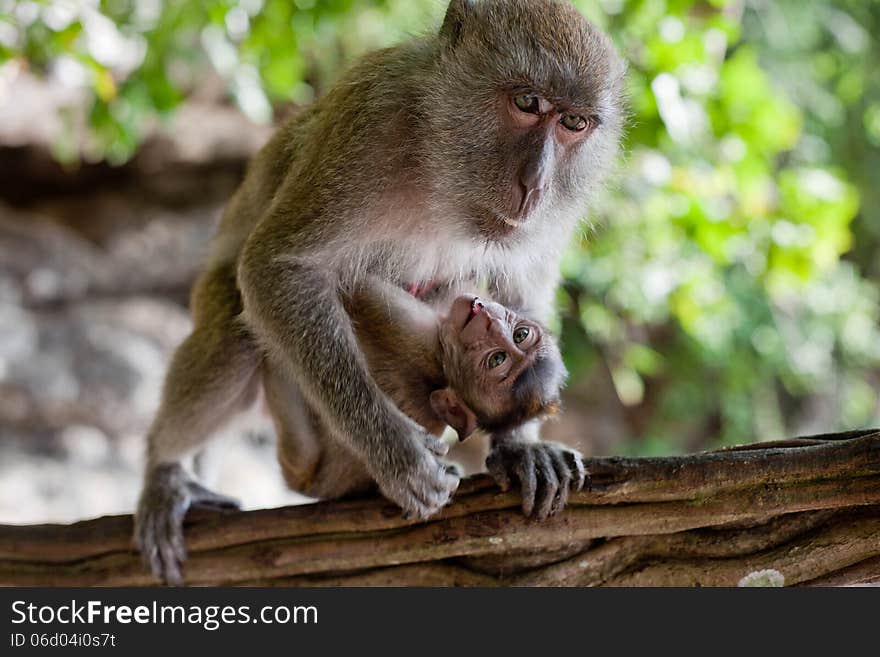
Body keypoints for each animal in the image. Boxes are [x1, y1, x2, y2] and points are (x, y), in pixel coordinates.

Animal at [136, 0, 624, 584]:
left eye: (574, 122)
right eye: (528, 103)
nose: (536, 185)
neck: (443, 155)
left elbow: (521, 281)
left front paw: (519, 445)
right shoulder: (372, 120)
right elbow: (279, 267)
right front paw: (397, 454)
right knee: (235, 328)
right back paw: (165, 468)